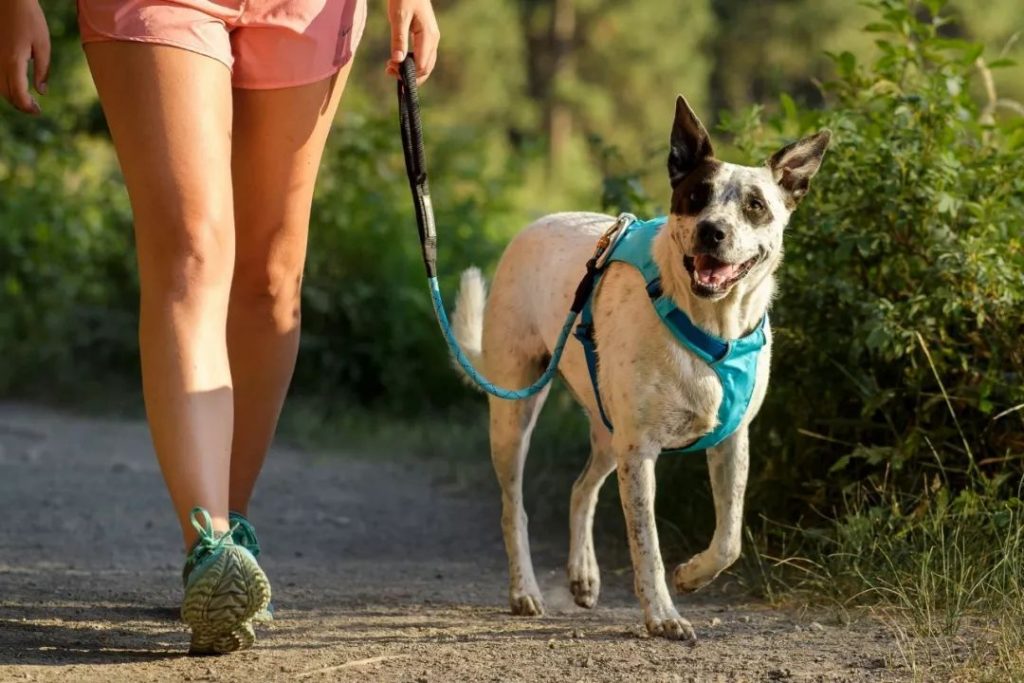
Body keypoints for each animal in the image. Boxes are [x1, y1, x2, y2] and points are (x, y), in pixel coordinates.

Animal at [452, 96, 827, 643]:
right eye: (696, 196)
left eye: (755, 205)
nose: (712, 231)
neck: (710, 326)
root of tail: (538, 222)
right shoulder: (641, 452)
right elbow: (646, 545)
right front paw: (663, 615)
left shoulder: (732, 441)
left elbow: (730, 538)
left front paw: (692, 575)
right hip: (515, 413)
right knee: (512, 508)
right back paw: (525, 591)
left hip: (610, 429)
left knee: (580, 488)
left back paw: (584, 576)